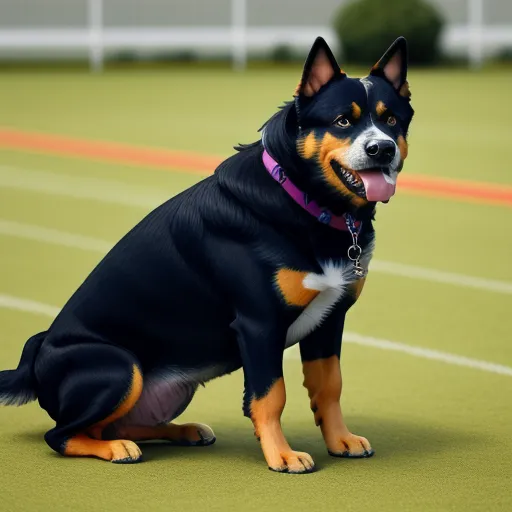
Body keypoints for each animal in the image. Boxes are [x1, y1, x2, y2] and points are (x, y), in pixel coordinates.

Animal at [0, 37, 412, 476]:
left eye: (392, 121)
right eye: (342, 121)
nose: (381, 149)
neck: (306, 204)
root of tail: (36, 356)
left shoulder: (329, 320)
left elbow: (329, 386)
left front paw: (341, 440)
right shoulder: (259, 324)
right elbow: (271, 396)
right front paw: (281, 455)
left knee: (114, 424)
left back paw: (183, 432)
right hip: (119, 366)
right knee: (62, 434)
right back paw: (116, 449)